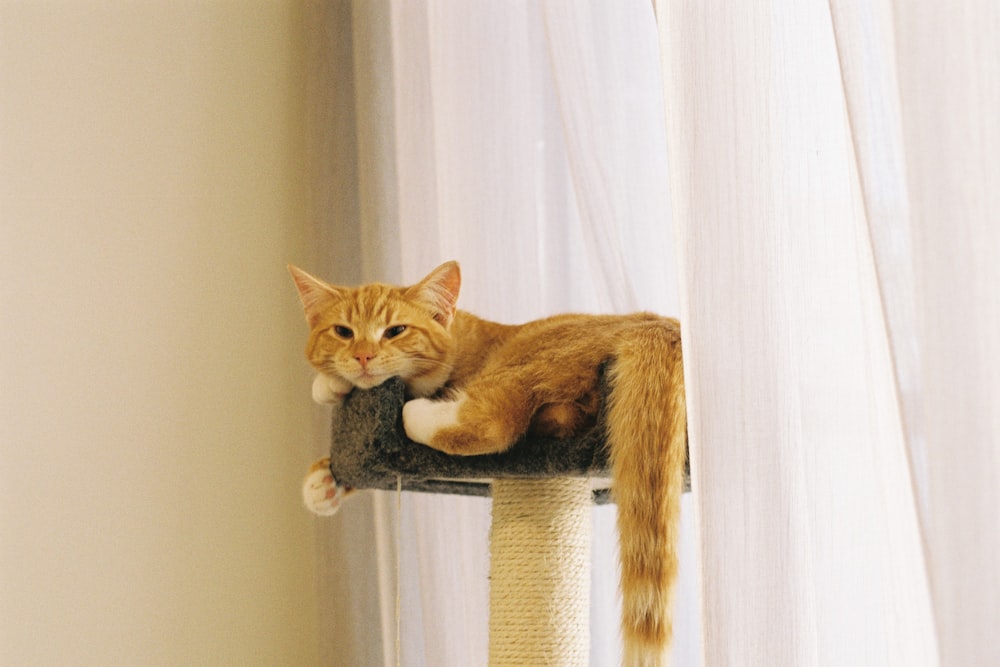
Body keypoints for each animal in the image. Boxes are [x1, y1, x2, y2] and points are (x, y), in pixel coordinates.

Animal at [290, 262, 688, 667]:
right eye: (343, 332)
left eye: (395, 330)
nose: (363, 357)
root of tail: (662, 327)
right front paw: (323, 479)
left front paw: (332, 388)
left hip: (528, 356)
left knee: (495, 419)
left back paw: (417, 414)